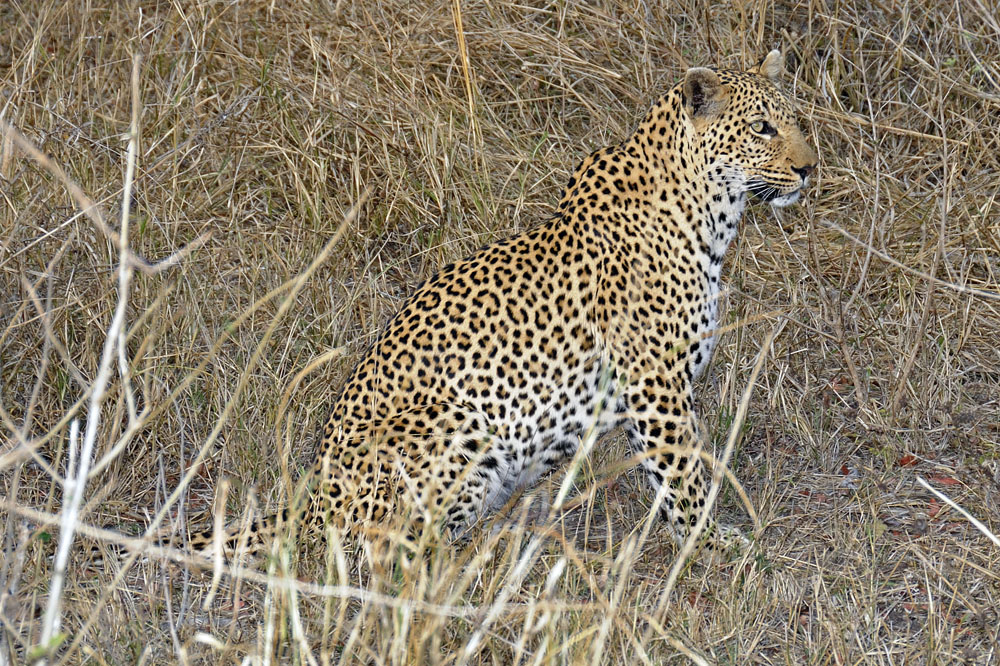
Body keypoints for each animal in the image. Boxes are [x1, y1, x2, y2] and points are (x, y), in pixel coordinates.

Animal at [189, 50, 818, 559]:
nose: (810, 168)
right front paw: (710, 541)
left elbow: (669, 472)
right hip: (456, 425)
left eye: (797, 120)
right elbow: (685, 471)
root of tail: (315, 498)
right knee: (391, 556)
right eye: (761, 128)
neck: (712, 213)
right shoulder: (656, 381)